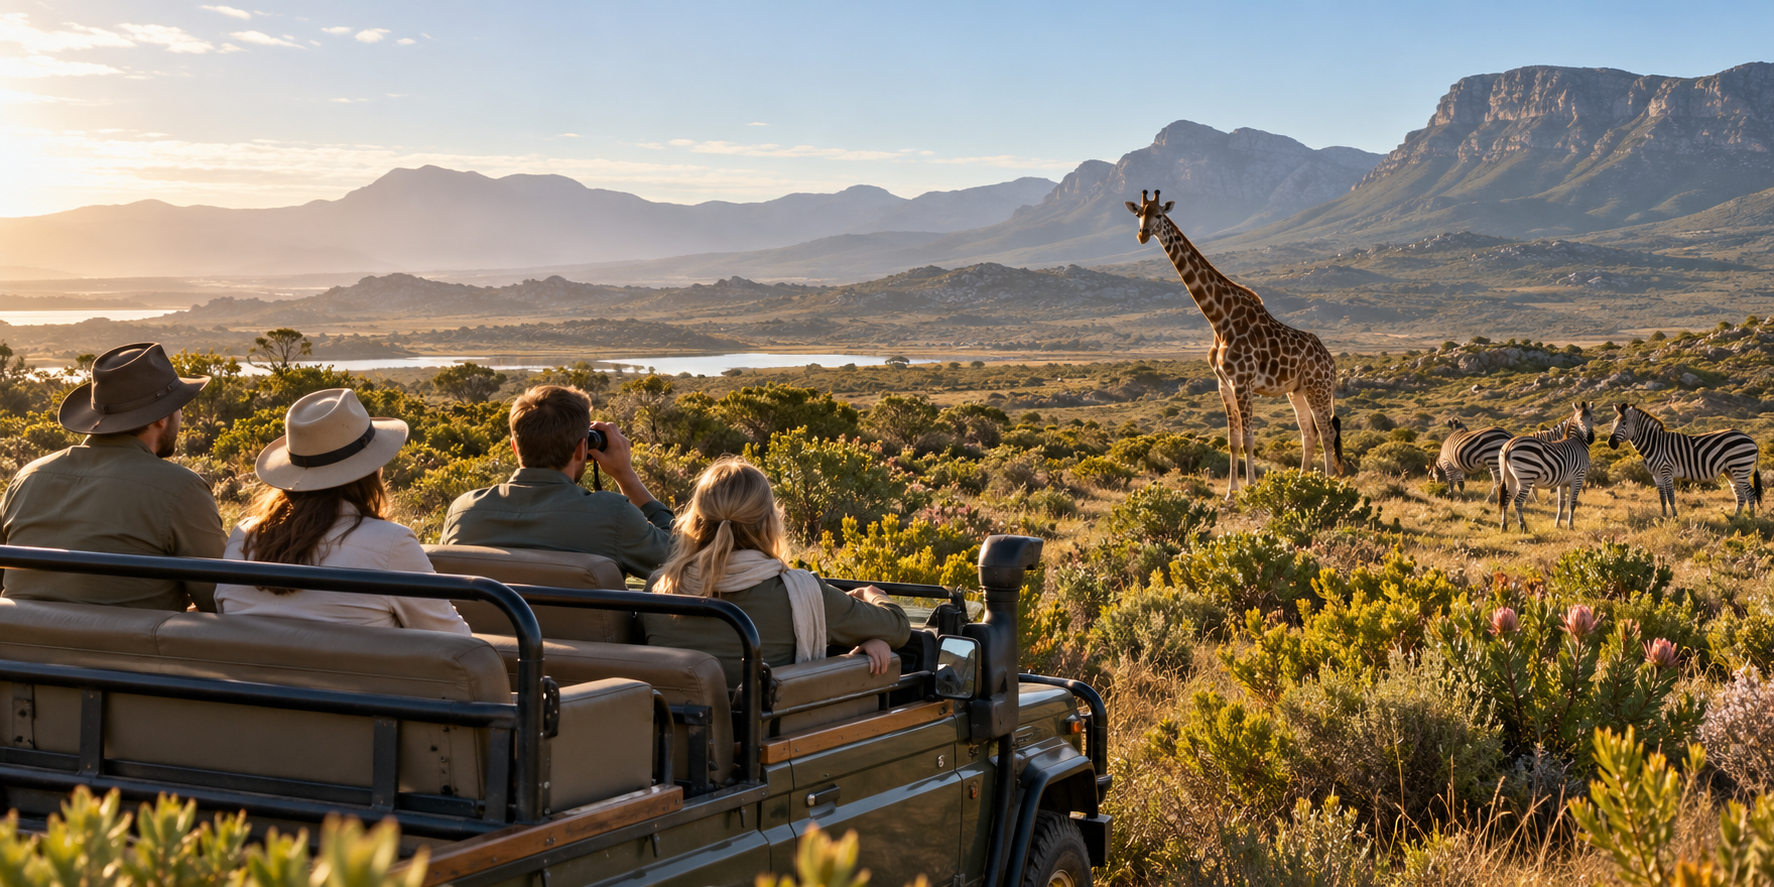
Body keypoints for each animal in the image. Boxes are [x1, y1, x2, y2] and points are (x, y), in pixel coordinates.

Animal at [1126, 189, 1343, 497]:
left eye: (1158, 214)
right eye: (1138, 214)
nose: (1142, 235)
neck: (1218, 319)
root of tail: (1332, 362)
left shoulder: (1243, 382)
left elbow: (1250, 439)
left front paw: (1251, 490)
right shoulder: (1224, 384)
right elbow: (1233, 440)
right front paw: (1230, 494)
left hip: (1318, 388)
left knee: (1327, 432)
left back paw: (1327, 486)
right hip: (1296, 391)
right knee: (1309, 434)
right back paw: (1301, 484)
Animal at [1498, 401, 1596, 531]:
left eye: (1591, 418)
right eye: (1580, 419)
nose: (1590, 438)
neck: (1578, 443)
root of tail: (1509, 445)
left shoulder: (1562, 482)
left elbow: (1561, 503)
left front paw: (1557, 524)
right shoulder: (1578, 478)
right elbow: (1572, 503)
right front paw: (1570, 526)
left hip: (1509, 476)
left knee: (1507, 498)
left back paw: (1504, 526)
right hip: (1526, 477)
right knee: (1518, 501)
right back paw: (1523, 527)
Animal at [1607, 402, 1761, 516]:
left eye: (1624, 423)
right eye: (1614, 422)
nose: (1611, 443)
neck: (1654, 445)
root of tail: (1751, 439)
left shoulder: (1666, 471)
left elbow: (1670, 496)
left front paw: (1675, 517)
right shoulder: (1656, 475)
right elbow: (1662, 498)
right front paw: (1663, 518)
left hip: (1740, 467)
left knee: (1750, 493)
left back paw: (1751, 519)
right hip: (1730, 471)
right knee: (1740, 495)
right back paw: (1736, 519)